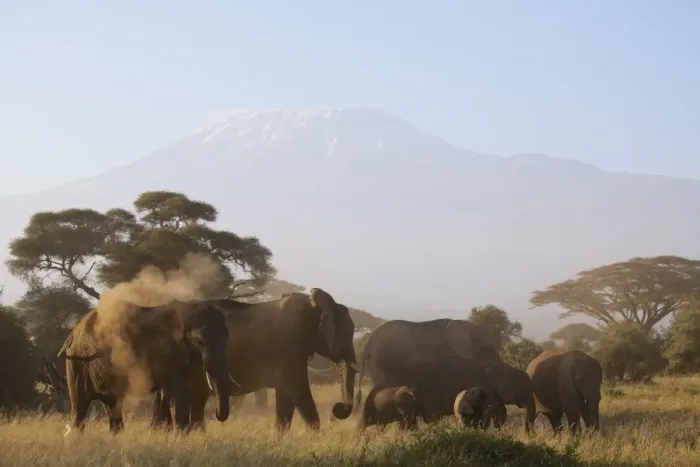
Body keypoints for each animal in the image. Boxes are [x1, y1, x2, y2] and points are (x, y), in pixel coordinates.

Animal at [57, 299, 231, 434]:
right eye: (199, 340)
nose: (217, 415)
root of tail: (72, 334)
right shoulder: (164, 351)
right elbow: (176, 392)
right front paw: (181, 436)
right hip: (77, 362)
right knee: (80, 404)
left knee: (111, 403)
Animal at [153, 288, 357, 432]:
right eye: (348, 333)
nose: (337, 408)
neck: (312, 304)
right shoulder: (288, 346)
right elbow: (297, 392)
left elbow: (286, 401)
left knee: (194, 402)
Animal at [406, 357, 535, 431]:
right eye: (523, 389)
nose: (528, 434)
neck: (509, 369)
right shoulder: (488, 389)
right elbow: (488, 413)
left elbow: (501, 413)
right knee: (431, 418)